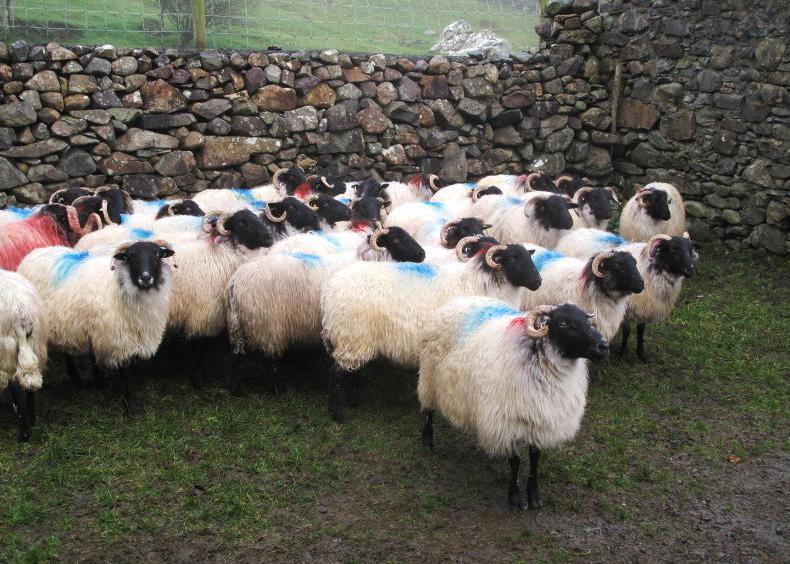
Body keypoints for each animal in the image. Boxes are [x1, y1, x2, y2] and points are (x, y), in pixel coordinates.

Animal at [0, 270, 48, 442]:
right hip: (37, 345)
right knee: (30, 387)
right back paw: (32, 420)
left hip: (7, 352)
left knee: (16, 387)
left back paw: (24, 433)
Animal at [18, 240, 176, 413]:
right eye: (130, 256)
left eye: (157, 255)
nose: (146, 278)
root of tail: (34, 253)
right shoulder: (117, 337)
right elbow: (125, 373)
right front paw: (130, 406)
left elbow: (96, 357)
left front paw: (100, 382)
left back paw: (75, 375)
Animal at [321, 235, 541, 420]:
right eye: (512, 258)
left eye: (528, 257)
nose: (538, 282)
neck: (480, 283)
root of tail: (330, 291)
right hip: (352, 336)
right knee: (335, 373)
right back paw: (336, 413)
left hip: (354, 339)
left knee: (351, 372)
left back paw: (353, 401)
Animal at [417, 298, 609, 509]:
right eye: (564, 323)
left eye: (587, 319)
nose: (603, 346)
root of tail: (457, 300)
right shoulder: (508, 421)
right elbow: (515, 461)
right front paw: (515, 497)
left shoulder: (539, 419)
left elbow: (535, 458)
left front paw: (534, 495)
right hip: (429, 375)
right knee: (428, 409)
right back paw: (427, 440)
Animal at [617, 233, 696, 362]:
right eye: (674, 249)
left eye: (690, 250)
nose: (690, 270)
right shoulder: (626, 308)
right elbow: (627, 331)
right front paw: (622, 354)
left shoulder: (643, 306)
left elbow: (641, 330)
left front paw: (641, 354)